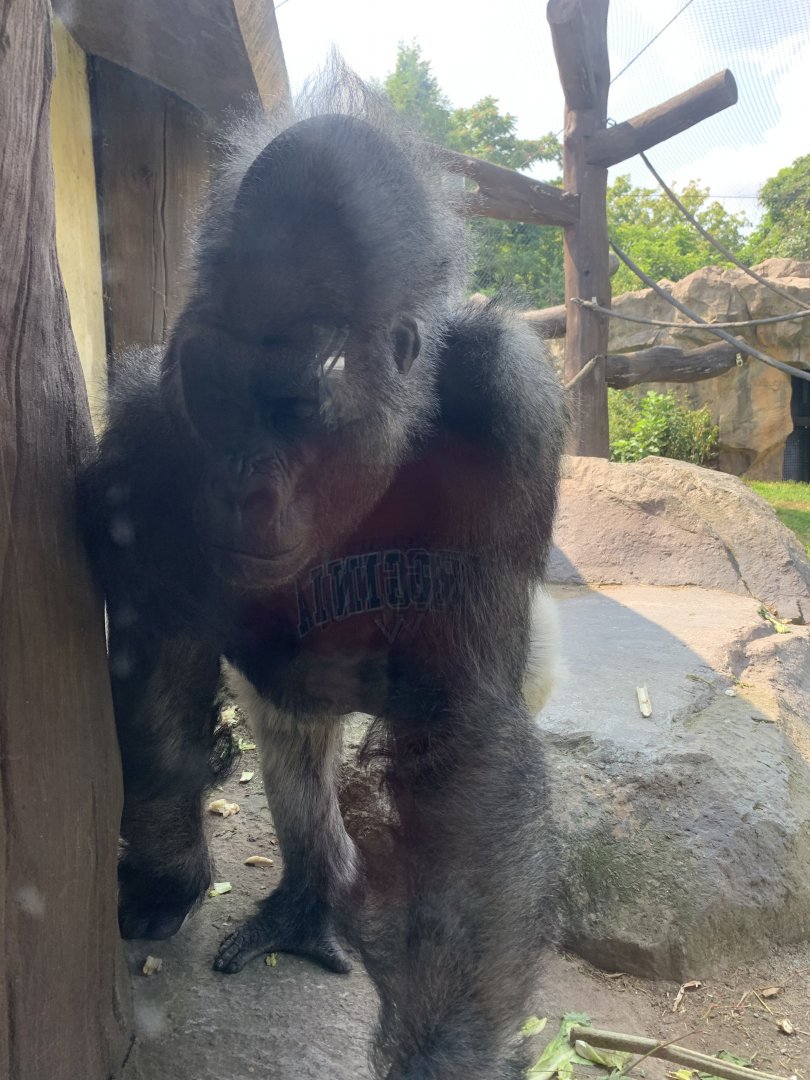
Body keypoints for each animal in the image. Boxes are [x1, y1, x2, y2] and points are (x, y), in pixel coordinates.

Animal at [79, 70, 567, 1080]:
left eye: (293, 406)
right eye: (218, 392)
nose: (243, 485)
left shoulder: (512, 407)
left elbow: (464, 735)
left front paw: (447, 1050)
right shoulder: (147, 412)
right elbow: (156, 652)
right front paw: (166, 867)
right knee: (291, 732)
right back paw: (311, 888)